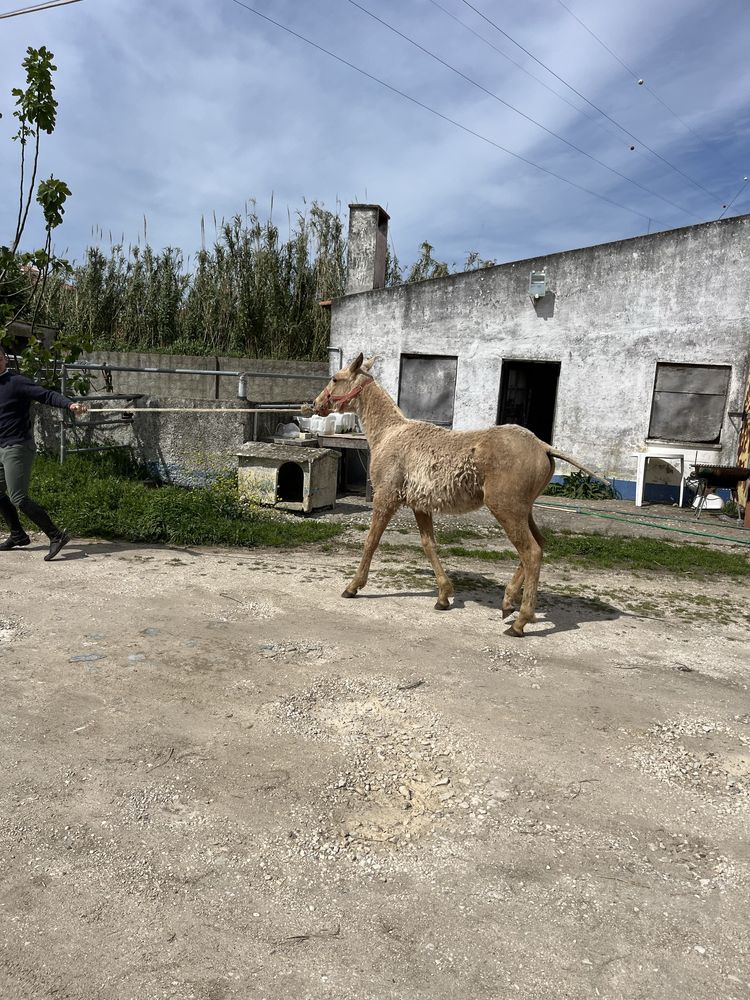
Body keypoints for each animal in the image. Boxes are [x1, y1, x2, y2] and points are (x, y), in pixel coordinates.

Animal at [314, 356, 604, 636]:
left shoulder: (386, 496)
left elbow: (371, 542)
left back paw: (519, 622)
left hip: (506, 508)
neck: (387, 434)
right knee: (539, 545)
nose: (317, 403)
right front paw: (443, 596)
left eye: (335, 378)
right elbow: (428, 544)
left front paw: (353, 586)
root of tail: (544, 447)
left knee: (531, 552)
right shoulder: (420, 504)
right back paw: (508, 601)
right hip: (524, 510)